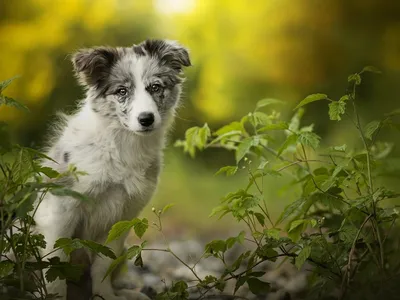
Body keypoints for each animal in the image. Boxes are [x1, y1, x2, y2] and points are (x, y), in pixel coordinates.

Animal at [34, 39, 191, 300]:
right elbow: (56, 260)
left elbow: (104, 264)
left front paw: (105, 295)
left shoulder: (124, 216)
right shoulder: (62, 209)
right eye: (122, 91)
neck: (122, 146)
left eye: (155, 87)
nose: (146, 119)